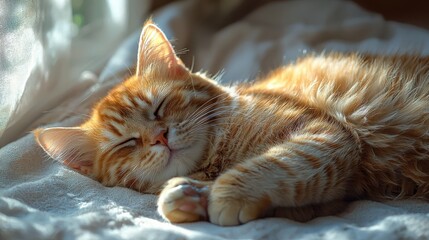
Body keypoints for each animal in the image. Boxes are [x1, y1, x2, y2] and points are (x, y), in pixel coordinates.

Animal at [34, 20, 428, 225]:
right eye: (126, 143)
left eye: (159, 108)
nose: (160, 137)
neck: (218, 157)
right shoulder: (331, 195)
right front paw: (190, 196)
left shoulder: (324, 135)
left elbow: (276, 164)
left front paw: (223, 194)